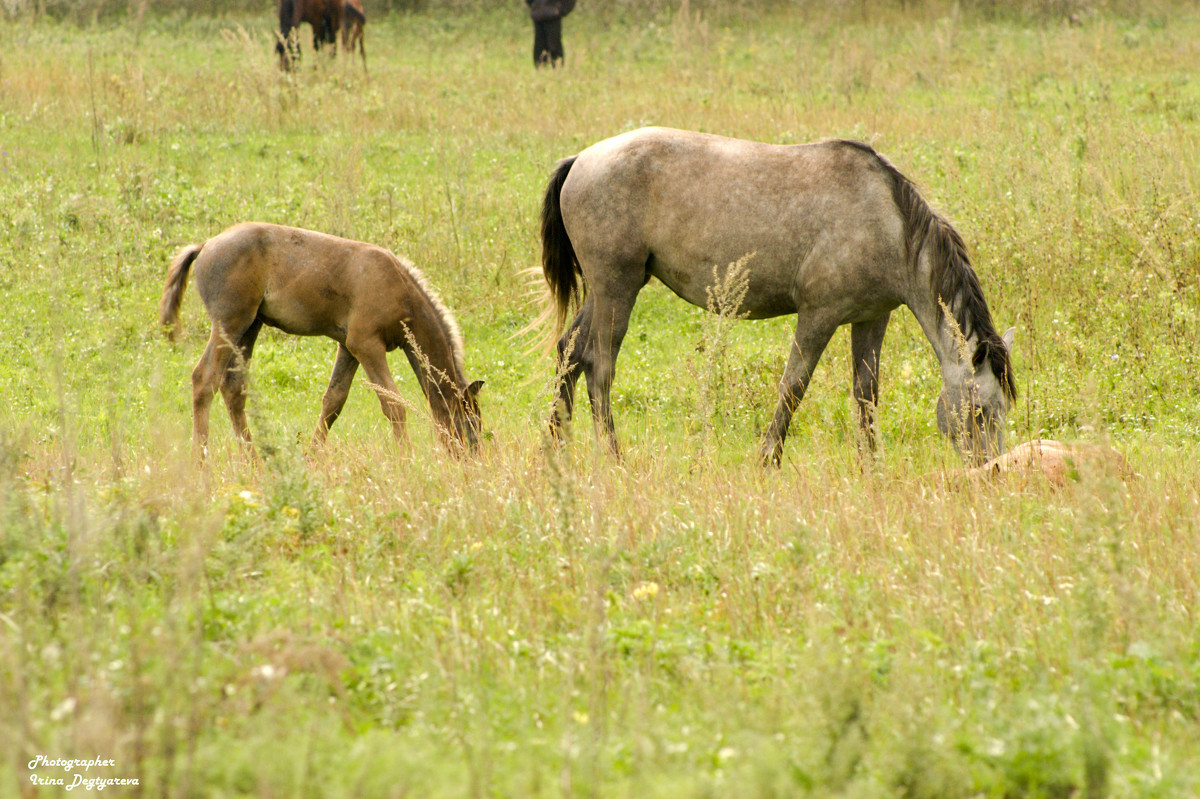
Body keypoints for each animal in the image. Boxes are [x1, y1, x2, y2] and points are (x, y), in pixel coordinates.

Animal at [159, 224, 482, 458]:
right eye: (471, 422)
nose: (471, 458)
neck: (400, 289)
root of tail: (205, 246)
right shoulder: (366, 344)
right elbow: (393, 402)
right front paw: (407, 459)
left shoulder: (348, 348)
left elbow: (333, 402)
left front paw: (312, 456)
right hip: (229, 323)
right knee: (204, 380)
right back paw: (201, 461)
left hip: (249, 328)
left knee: (233, 387)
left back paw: (253, 460)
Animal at [540, 126, 1017, 463]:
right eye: (980, 412)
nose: (990, 469)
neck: (888, 224)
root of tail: (581, 159)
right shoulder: (818, 316)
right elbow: (794, 386)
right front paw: (769, 459)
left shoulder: (871, 318)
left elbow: (866, 394)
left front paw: (871, 466)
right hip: (615, 288)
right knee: (599, 366)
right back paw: (613, 457)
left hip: (613, 288)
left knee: (570, 352)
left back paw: (555, 448)